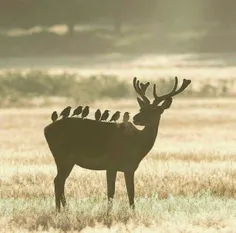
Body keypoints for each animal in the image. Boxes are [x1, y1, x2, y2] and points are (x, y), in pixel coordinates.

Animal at [44, 76, 191, 213]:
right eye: (141, 108)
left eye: (154, 110)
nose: (136, 118)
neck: (136, 146)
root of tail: (46, 129)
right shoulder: (111, 164)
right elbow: (111, 192)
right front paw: (108, 213)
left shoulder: (130, 168)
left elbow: (131, 192)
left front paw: (132, 212)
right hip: (62, 157)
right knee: (58, 181)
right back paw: (63, 210)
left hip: (66, 160)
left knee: (58, 181)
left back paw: (60, 210)